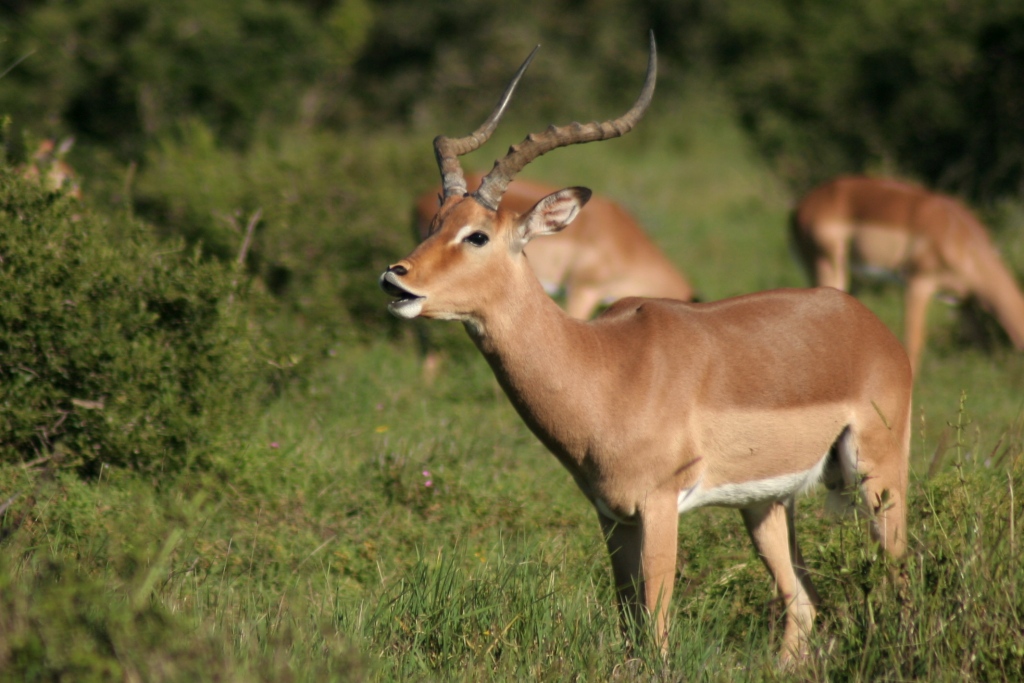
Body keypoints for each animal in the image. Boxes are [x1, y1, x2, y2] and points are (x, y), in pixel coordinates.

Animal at [380, 35, 912, 665]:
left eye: (478, 235)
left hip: (879, 477)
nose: (395, 280)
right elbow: (627, 618)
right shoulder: (612, 516)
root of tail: (870, 325)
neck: (603, 367)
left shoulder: (659, 506)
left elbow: (655, 627)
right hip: (766, 504)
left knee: (899, 577)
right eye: (435, 223)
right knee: (803, 601)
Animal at [792, 175, 1024, 375]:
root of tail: (802, 206)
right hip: (829, 266)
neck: (960, 238)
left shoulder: (963, 302)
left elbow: (981, 342)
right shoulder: (918, 283)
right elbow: (914, 340)